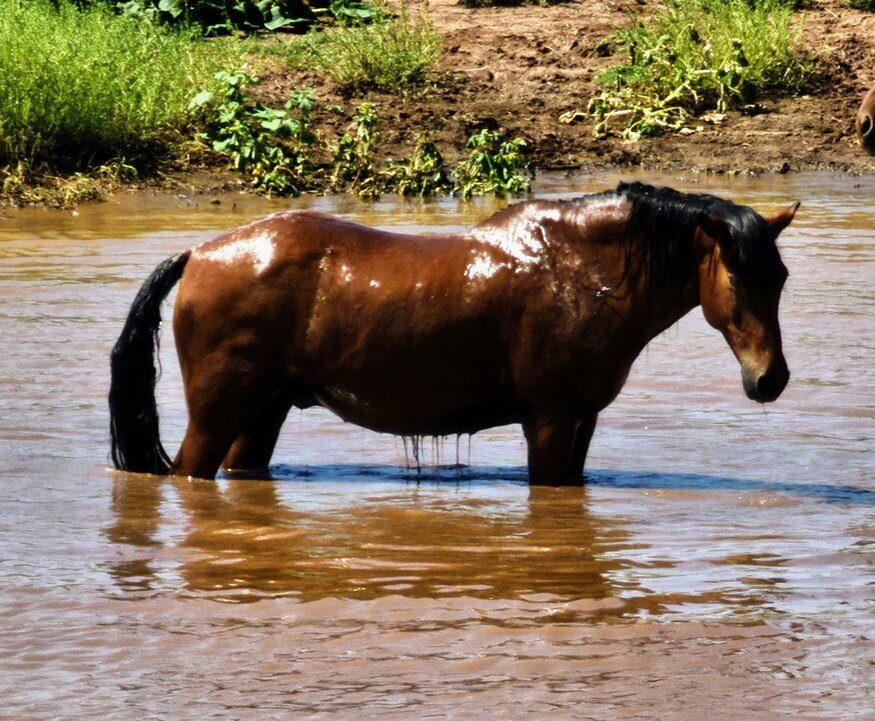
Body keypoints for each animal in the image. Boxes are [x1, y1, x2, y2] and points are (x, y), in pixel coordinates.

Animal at [109, 182, 799, 485]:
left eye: (781, 276)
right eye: (738, 276)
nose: (771, 379)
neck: (582, 270)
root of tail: (199, 253)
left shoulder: (582, 419)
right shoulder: (549, 419)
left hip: (263, 411)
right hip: (219, 411)